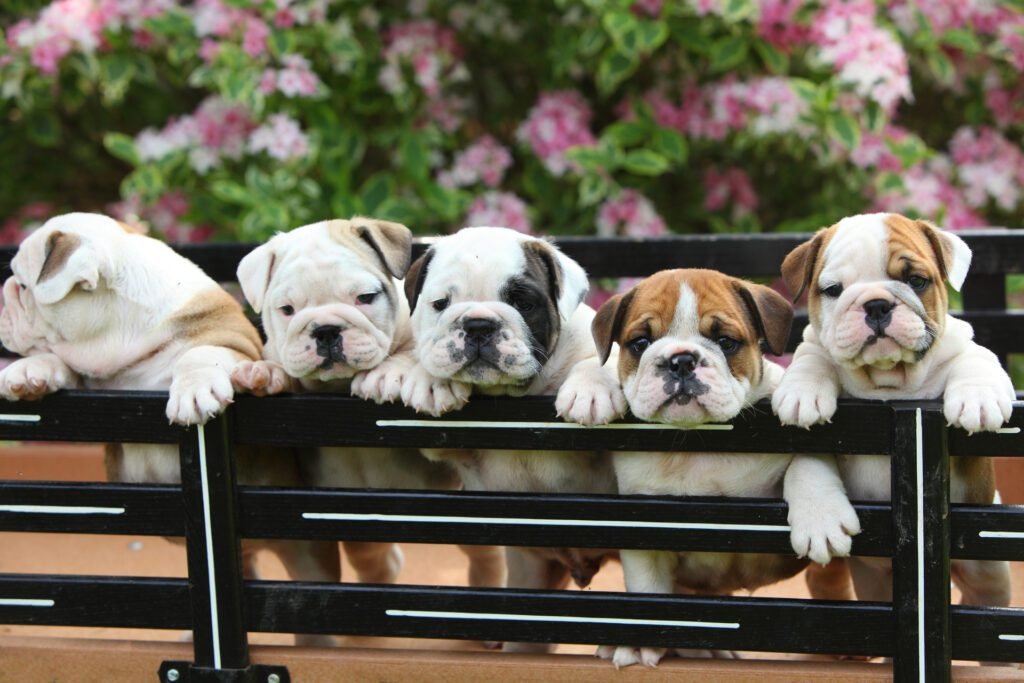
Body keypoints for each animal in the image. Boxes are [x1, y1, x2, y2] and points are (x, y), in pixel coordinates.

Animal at [0, 210, 344, 643]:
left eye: (22, 285)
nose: (3, 295)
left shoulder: (237, 347)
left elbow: (203, 354)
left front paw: (196, 389)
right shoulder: (90, 379)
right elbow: (59, 363)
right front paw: (28, 371)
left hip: (308, 552)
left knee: (311, 600)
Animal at [230, 220, 505, 593]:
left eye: (365, 298)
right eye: (287, 310)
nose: (326, 330)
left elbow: (414, 350)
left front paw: (398, 375)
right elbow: (282, 367)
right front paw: (263, 371)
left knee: (486, 554)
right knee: (379, 562)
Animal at [569, 268, 839, 667]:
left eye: (725, 342)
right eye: (640, 343)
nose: (681, 360)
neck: (697, 442)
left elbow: (806, 459)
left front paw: (820, 518)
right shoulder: (643, 533)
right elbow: (648, 589)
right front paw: (639, 643)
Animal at [770, 210, 1011, 610]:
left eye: (916, 281)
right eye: (833, 290)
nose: (876, 304)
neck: (888, 382)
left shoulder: (963, 345)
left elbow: (975, 359)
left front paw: (978, 399)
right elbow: (812, 364)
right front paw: (801, 390)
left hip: (988, 573)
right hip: (875, 581)